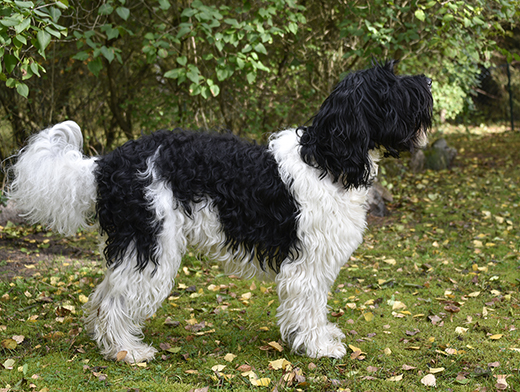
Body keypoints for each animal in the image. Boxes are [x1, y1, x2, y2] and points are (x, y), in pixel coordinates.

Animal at [8, 62, 432, 364]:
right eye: (390, 84)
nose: (427, 82)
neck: (328, 159)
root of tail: (105, 164)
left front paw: (319, 339)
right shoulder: (308, 263)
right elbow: (309, 306)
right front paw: (317, 347)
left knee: (103, 297)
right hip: (150, 245)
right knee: (114, 301)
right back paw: (127, 351)